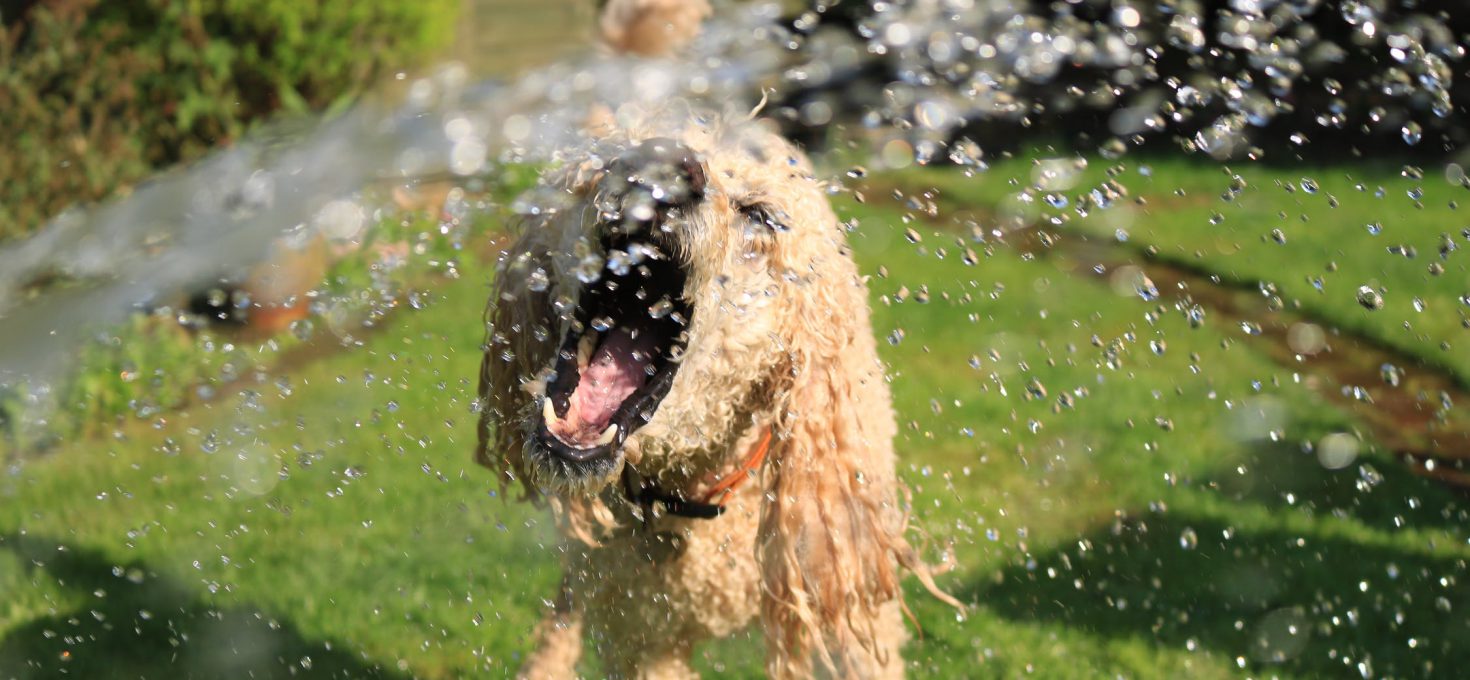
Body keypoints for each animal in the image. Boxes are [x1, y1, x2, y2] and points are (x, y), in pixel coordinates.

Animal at [470, 107, 952, 680]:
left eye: (761, 216)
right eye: (608, 157)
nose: (662, 164)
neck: (696, 491)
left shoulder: (847, 588)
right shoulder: (640, 630)